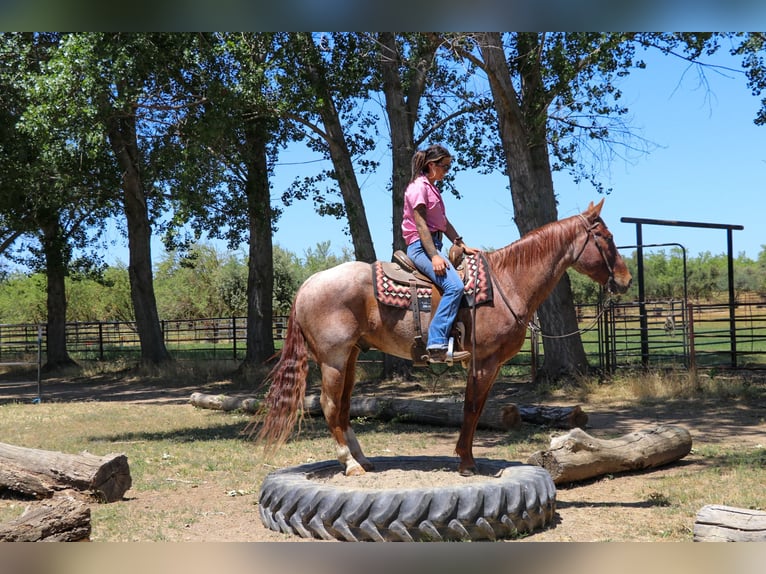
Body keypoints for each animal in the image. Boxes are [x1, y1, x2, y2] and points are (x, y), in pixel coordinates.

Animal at [255, 200, 632, 480]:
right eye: (607, 237)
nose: (626, 280)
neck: (507, 283)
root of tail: (309, 283)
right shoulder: (484, 362)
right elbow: (471, 407)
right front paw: (466, 462)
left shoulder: (489, 365)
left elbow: (477, 408)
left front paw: (465, 457)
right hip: (332, 359)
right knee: (331, 405)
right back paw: (349, 464)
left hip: (349, 357)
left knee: (344, 407)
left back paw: (362, 459)